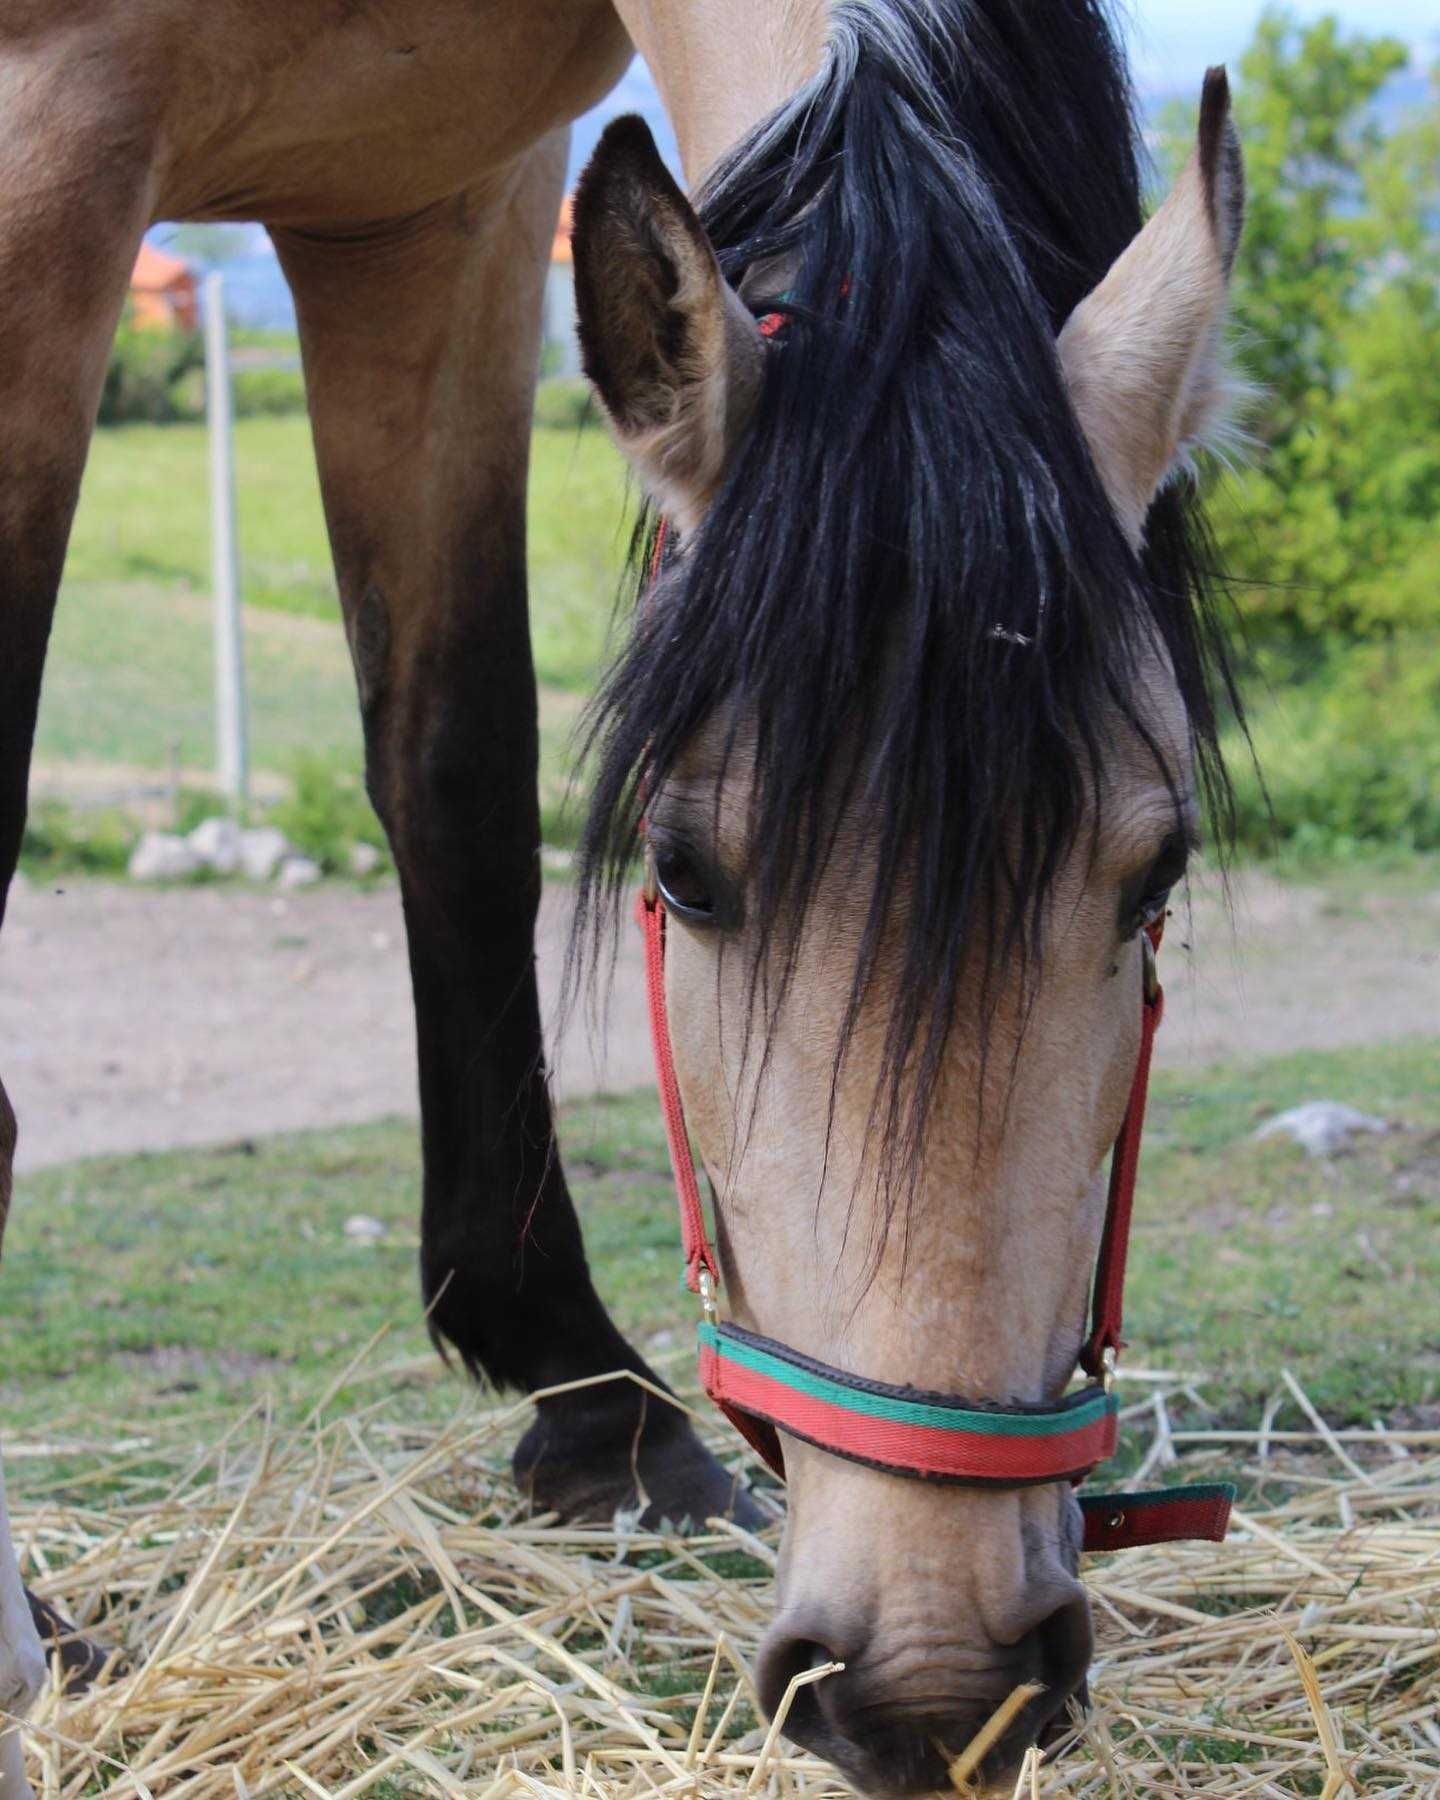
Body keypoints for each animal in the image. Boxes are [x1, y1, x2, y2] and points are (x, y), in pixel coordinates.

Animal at [0, 0, 1245, 1792]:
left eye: (1157, 870)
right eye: (686, 872)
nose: (939, 1680)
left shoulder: (437, 208)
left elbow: (456, 775)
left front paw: (590, 1398)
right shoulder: (49, 151)